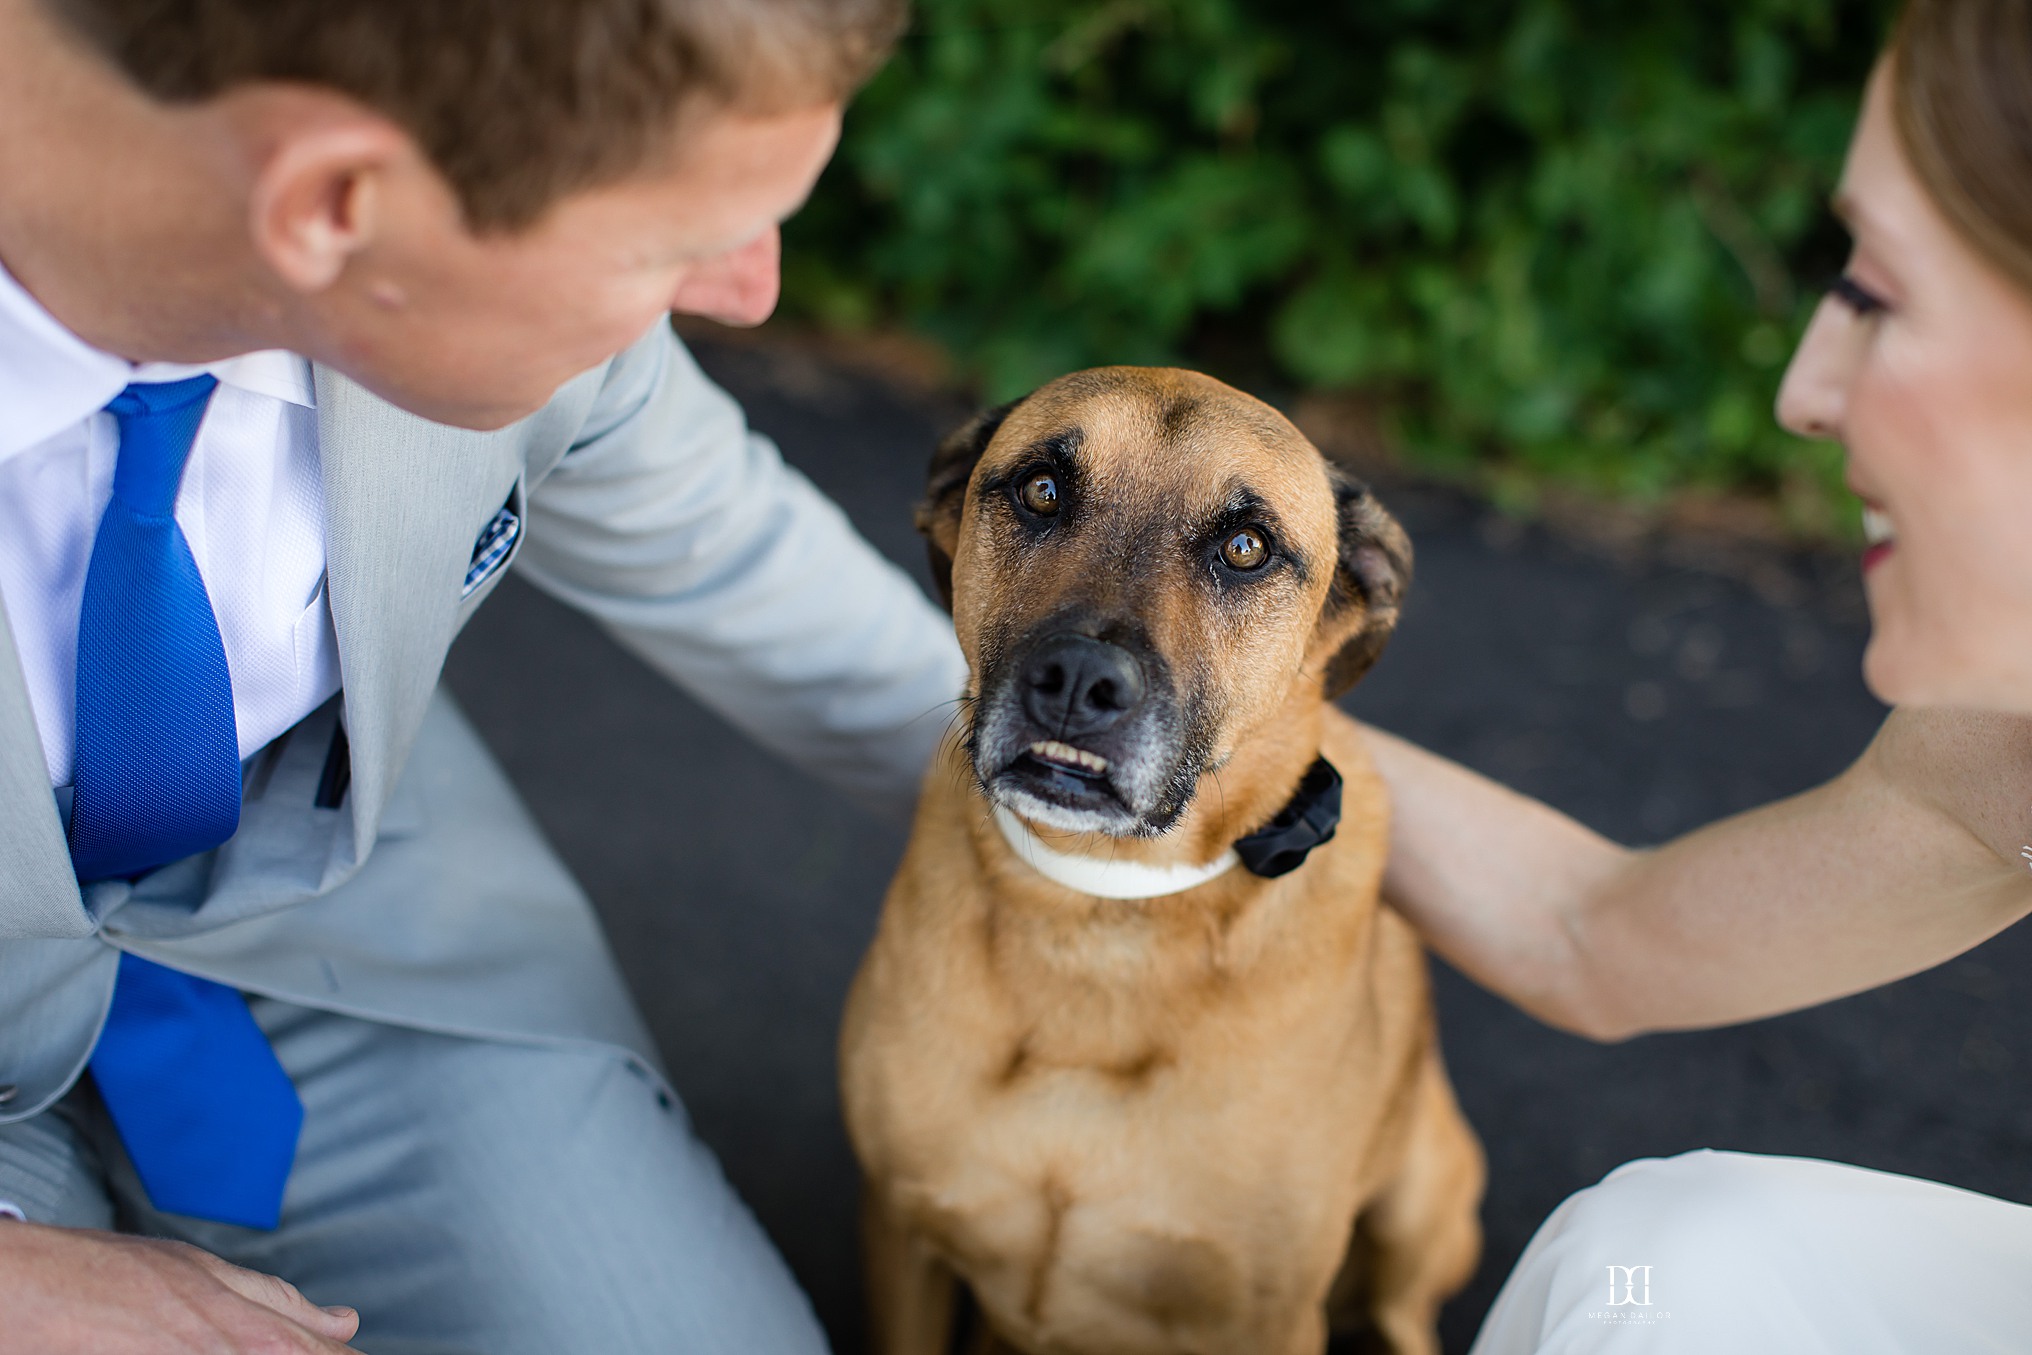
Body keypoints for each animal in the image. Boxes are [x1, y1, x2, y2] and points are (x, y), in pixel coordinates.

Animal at [833, 365, 1487, 1355]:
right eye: (1041, 489)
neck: (1102, 917)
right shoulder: (901, 1232)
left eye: (1247, 547)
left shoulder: (1271, 1316)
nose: (1075, 682)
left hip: (1418, 1209)